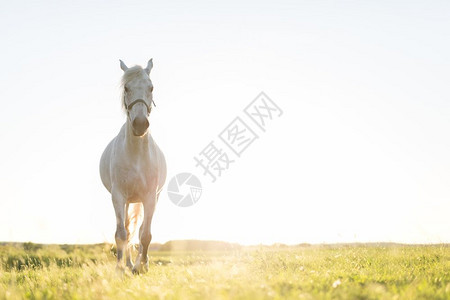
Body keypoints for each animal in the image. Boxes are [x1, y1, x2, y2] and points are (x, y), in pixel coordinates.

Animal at [100, 59, 167, 274]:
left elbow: (145, 234)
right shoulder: (118, 195)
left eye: (151, 87)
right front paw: (121, 267)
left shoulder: (150, 197)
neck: (137, 154)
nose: (140, 124)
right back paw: (128, 263)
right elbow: (122, 234)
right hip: (127, 200)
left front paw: (142, 266)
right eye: (126, 88)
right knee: (128, 228)